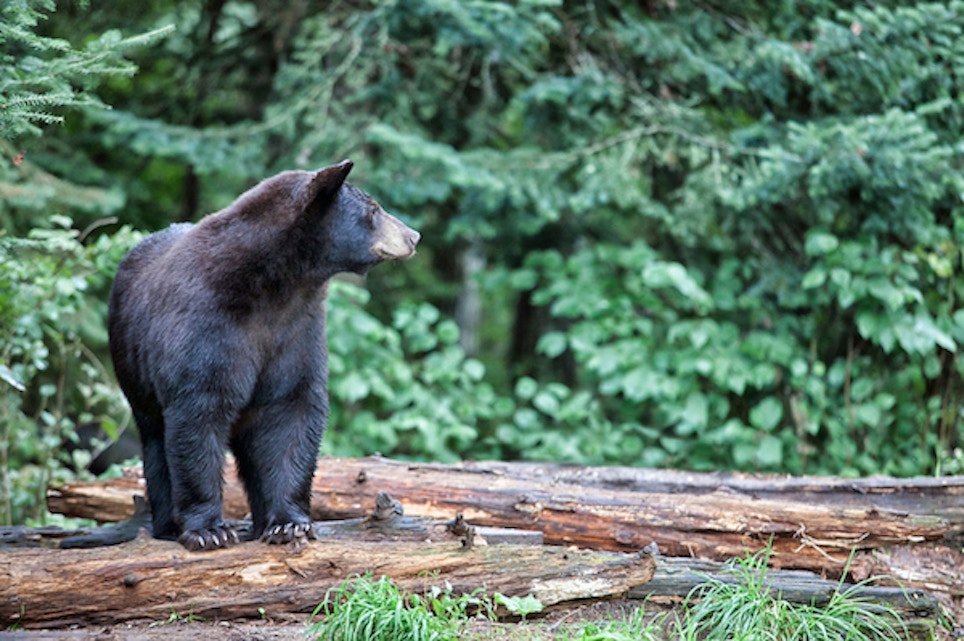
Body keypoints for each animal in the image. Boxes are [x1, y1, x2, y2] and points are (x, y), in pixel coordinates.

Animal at [108, 159, 419, 551]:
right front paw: (209, 530)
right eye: (374, 210)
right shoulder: (209, 325)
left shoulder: (297, 331)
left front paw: (289, 524)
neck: (277, 285)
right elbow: (199, 413)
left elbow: (293, 411)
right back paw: (167, 526)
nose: (414, 236)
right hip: (134, 372)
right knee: (155, 443)